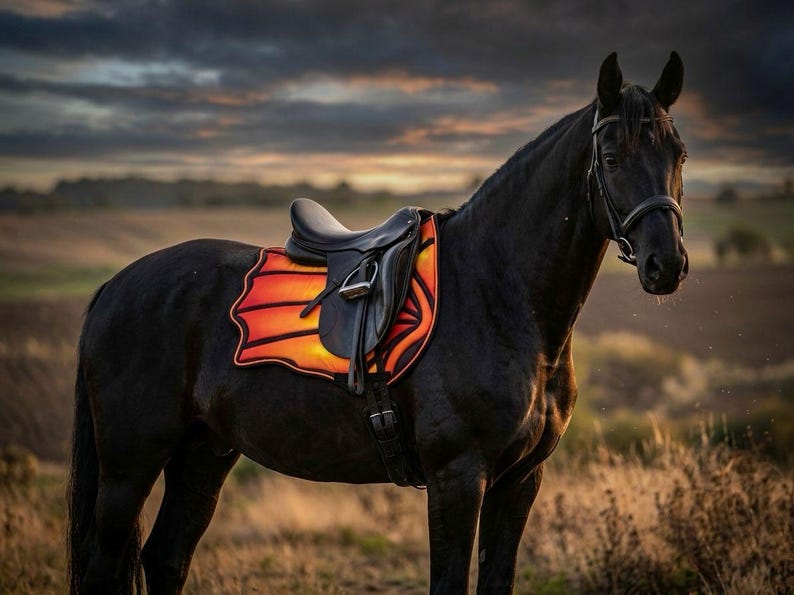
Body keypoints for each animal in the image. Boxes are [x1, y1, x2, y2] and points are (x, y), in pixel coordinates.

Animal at [68, 51, 688, 594]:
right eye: (611, 158)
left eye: (679, 155)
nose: (667, 264)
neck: (495, 290)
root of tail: (115, 288)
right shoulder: (457, 477)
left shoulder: (519, 482)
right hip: (128, 467)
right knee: (104, 567)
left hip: (203, 453)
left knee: (166, 558)